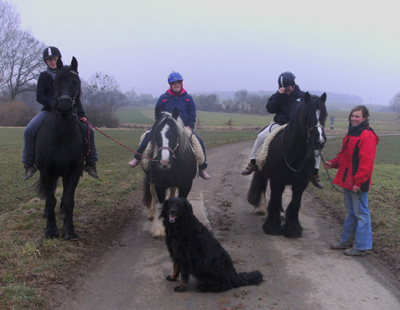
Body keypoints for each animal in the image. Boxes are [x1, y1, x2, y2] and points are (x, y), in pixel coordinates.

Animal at [35, 57, 84, 240]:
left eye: (75, 82)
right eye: (56, 83)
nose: (64, 109)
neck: (62, 136)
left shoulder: (73, 172)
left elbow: (69, 201)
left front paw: (69, 231)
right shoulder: (46, 172)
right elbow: (50, 200)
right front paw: (51, 230)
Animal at [143, 108, 198, 236]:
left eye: (175, 133)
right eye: (156, 134)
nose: (164, 161)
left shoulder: (186, 184)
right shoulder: (159, 184)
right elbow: (161, 203)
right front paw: (159, 228)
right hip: (151, 180)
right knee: (153, 193)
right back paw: (152, 213)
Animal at [247, 91, 328, 237]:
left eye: (324, 114)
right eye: (307, 115)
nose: (319, 141)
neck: (294, 153)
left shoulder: (301, 183)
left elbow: (295, 203)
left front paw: (293, 229)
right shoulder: (276, 180)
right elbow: (274, 201)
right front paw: (272, 227)